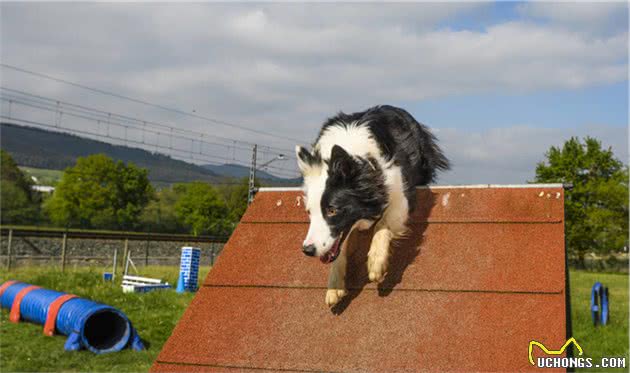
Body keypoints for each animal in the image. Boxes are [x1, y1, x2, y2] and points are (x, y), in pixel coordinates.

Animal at [296, 104, 450, 306]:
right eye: (309, 212)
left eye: (332, 210)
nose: (307, 250)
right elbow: (339, 247)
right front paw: (334, 286)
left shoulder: (401, 193)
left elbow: (383, 224)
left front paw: (376, 263)